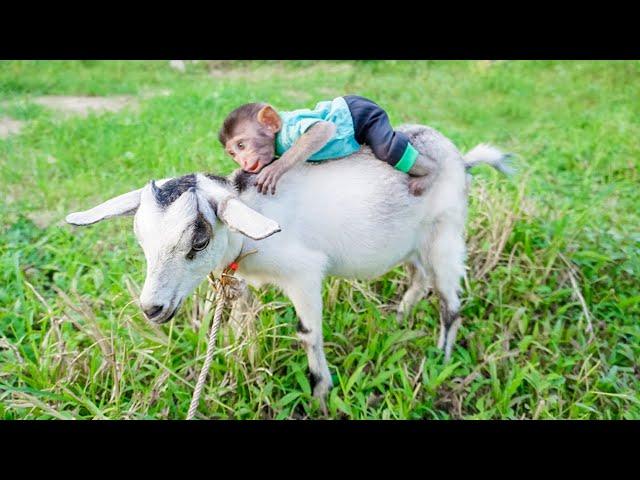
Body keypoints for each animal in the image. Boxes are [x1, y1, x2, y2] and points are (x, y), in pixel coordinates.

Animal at [65, 124, 512, 408]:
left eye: (198, 239)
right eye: (141, 240)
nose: (152, 308)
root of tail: (460, 158)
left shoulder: (304, 274)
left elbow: (308, 333)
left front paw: (321, 394)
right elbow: (239, 321)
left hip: (446, 234)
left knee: (449, 301)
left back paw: (441, 357)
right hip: (414, 243)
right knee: (419, 279)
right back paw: (400, 317)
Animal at [219, 95, 436, 195]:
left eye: (241, 145)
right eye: (233, 153)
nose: (243, 161)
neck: (277, 136)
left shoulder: (290, 130)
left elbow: (321, 129)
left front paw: (276, 168)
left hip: (367, 113)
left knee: (388, 148)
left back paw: (431, 172)